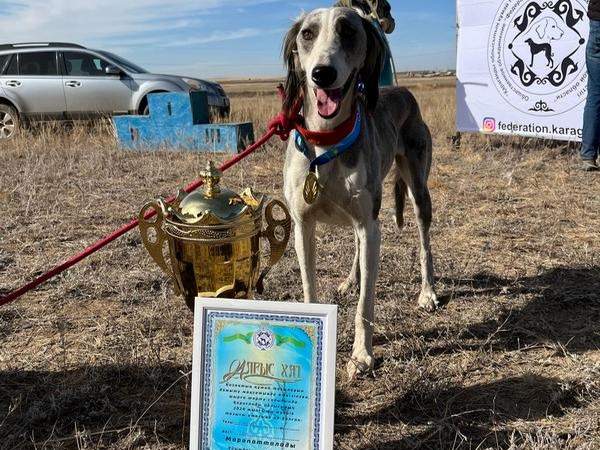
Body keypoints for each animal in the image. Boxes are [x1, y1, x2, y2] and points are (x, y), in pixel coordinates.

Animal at [284, 7, 438, 380]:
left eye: (349, 31)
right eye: (307, 34)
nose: (322, 74)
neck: (327, 140)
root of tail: (401, 89)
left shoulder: (371, 226)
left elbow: (366, 304)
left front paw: (361, 356)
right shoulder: (303, 226)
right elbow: (310, 288)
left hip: (418, 191)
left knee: (424, 243)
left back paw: (427, 293)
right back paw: (349, 281)